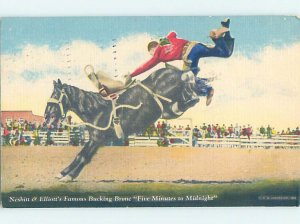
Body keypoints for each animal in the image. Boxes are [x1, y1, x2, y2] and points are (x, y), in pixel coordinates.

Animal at [44, 67, 207, 182]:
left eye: (55, 95)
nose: (46, 117)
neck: (97, 109)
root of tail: (176, 71)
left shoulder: (97, 139)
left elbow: (83, 157)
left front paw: (68, 176)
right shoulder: (95, 139)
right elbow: (80, 155)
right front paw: (62, 173)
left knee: (191, 96)